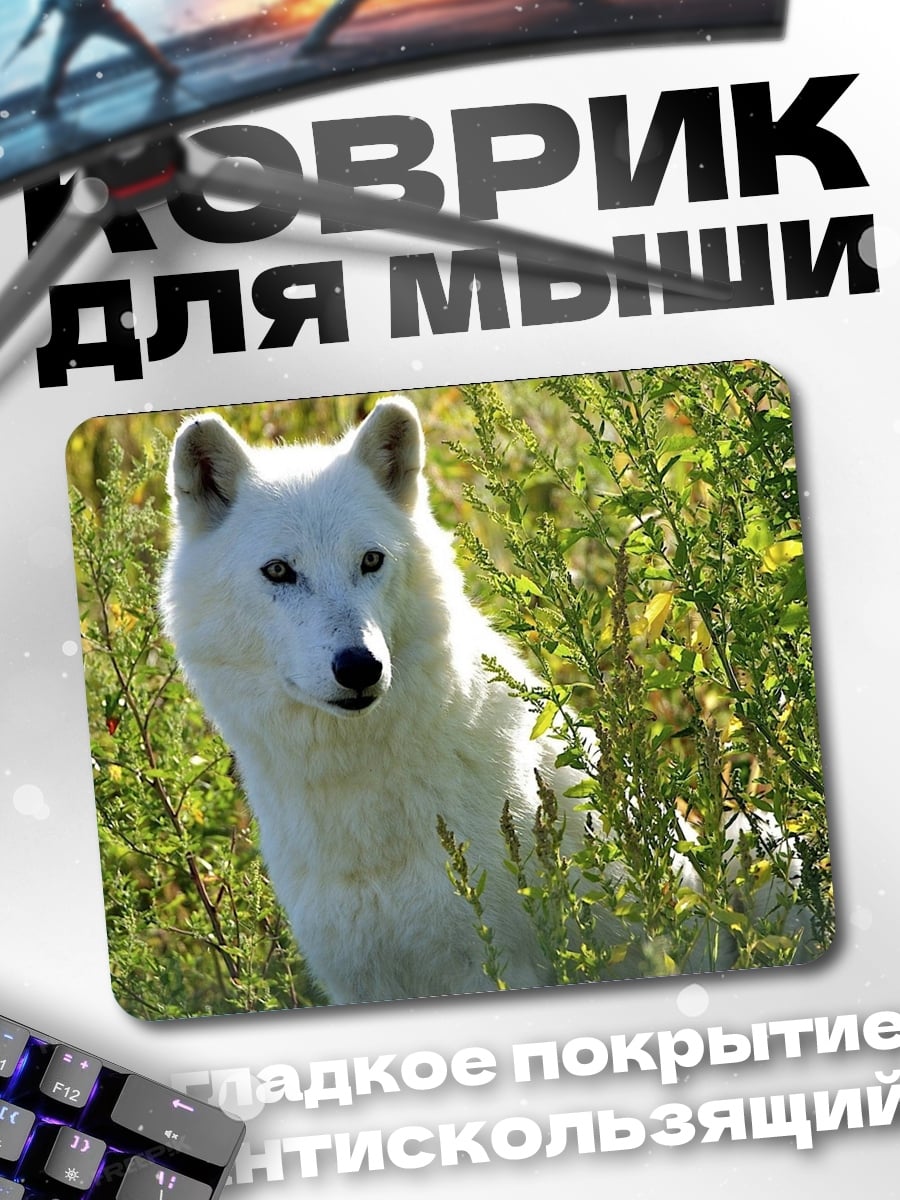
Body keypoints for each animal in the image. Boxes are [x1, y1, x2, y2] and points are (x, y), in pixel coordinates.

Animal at [161, 397, 805, 1004]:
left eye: (370, 560)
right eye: (278, 571)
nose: (360, 666)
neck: (362, 805)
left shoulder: (495, 963)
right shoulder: (357, 982)